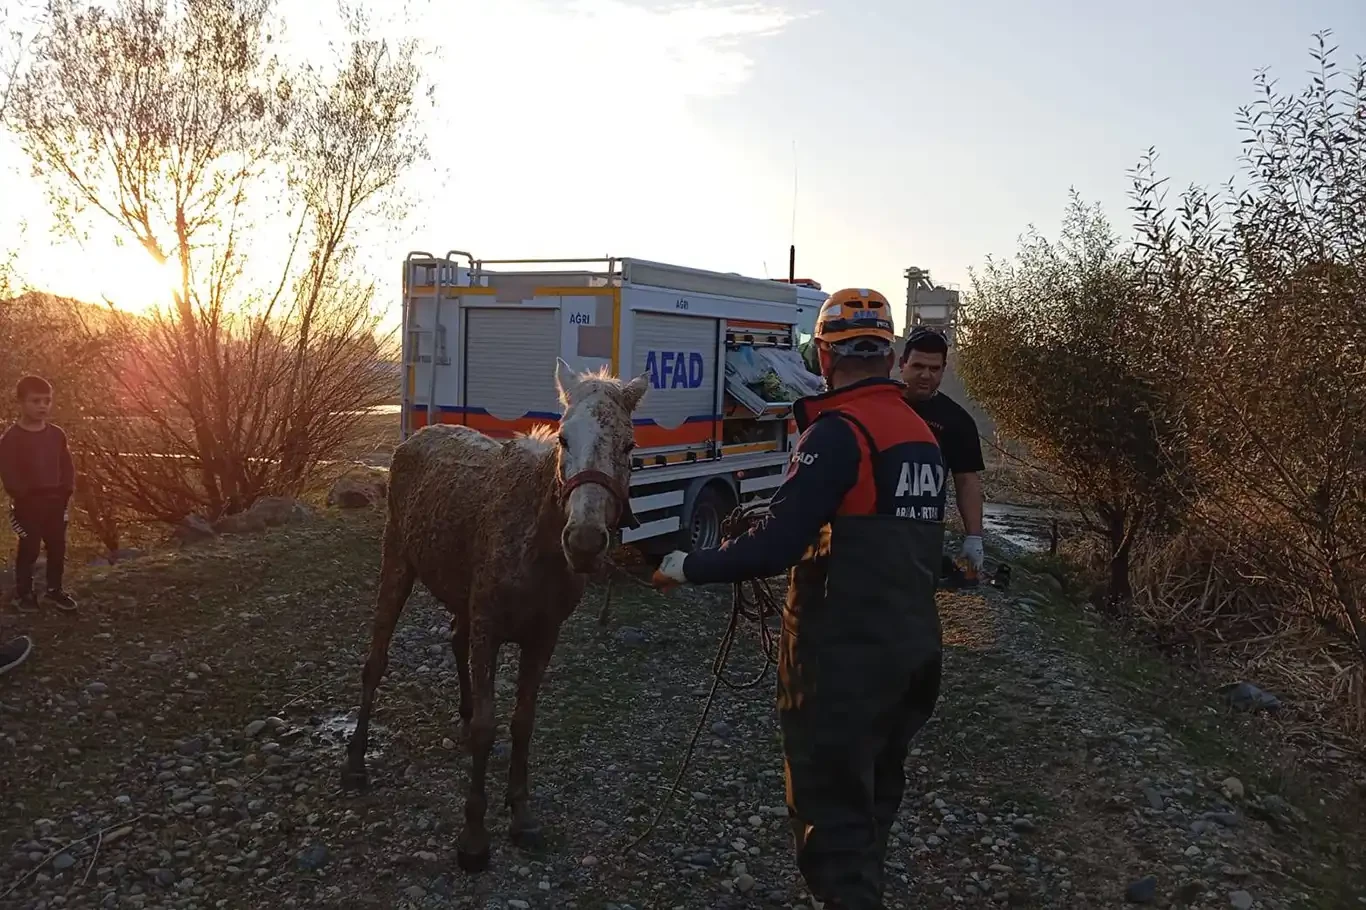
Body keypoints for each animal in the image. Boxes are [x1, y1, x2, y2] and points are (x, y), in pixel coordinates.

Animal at [338, 357, 642, 869]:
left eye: (628, 445)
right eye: (564, 438)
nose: (583, 541)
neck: (536, 545)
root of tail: (414, 439)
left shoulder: (542, 635)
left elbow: (522, 721)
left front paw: (520, 814)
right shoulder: (489, 625)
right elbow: (486, 723)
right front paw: (474, 837)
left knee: (454, 639)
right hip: (396, 560)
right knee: (375, 661)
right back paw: (356, 763)